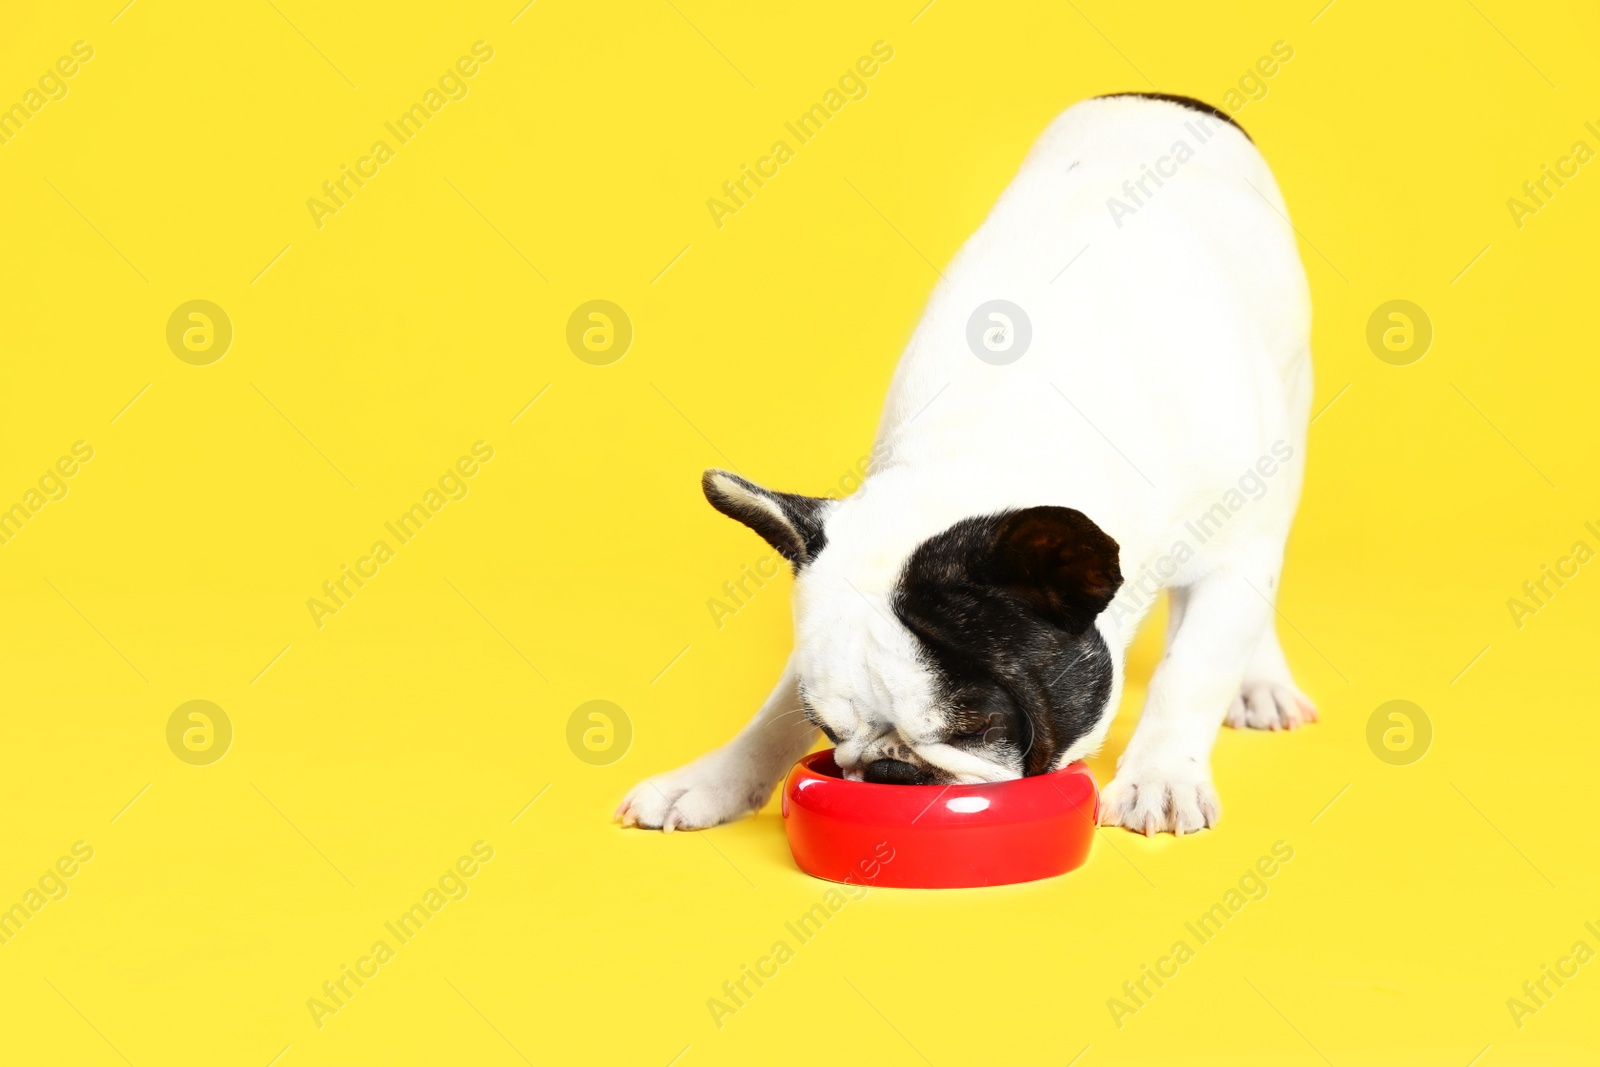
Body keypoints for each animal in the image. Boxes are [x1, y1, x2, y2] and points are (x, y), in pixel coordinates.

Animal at [614, 93, 1312, 831]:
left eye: (976, 724)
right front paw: (713, 778)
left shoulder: (1233, 550)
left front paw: (1161, 775)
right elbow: (777, 705)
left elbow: (1192, 672)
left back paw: (1261, 682)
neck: (994, 440)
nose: (889, 770)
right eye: (829, 732)